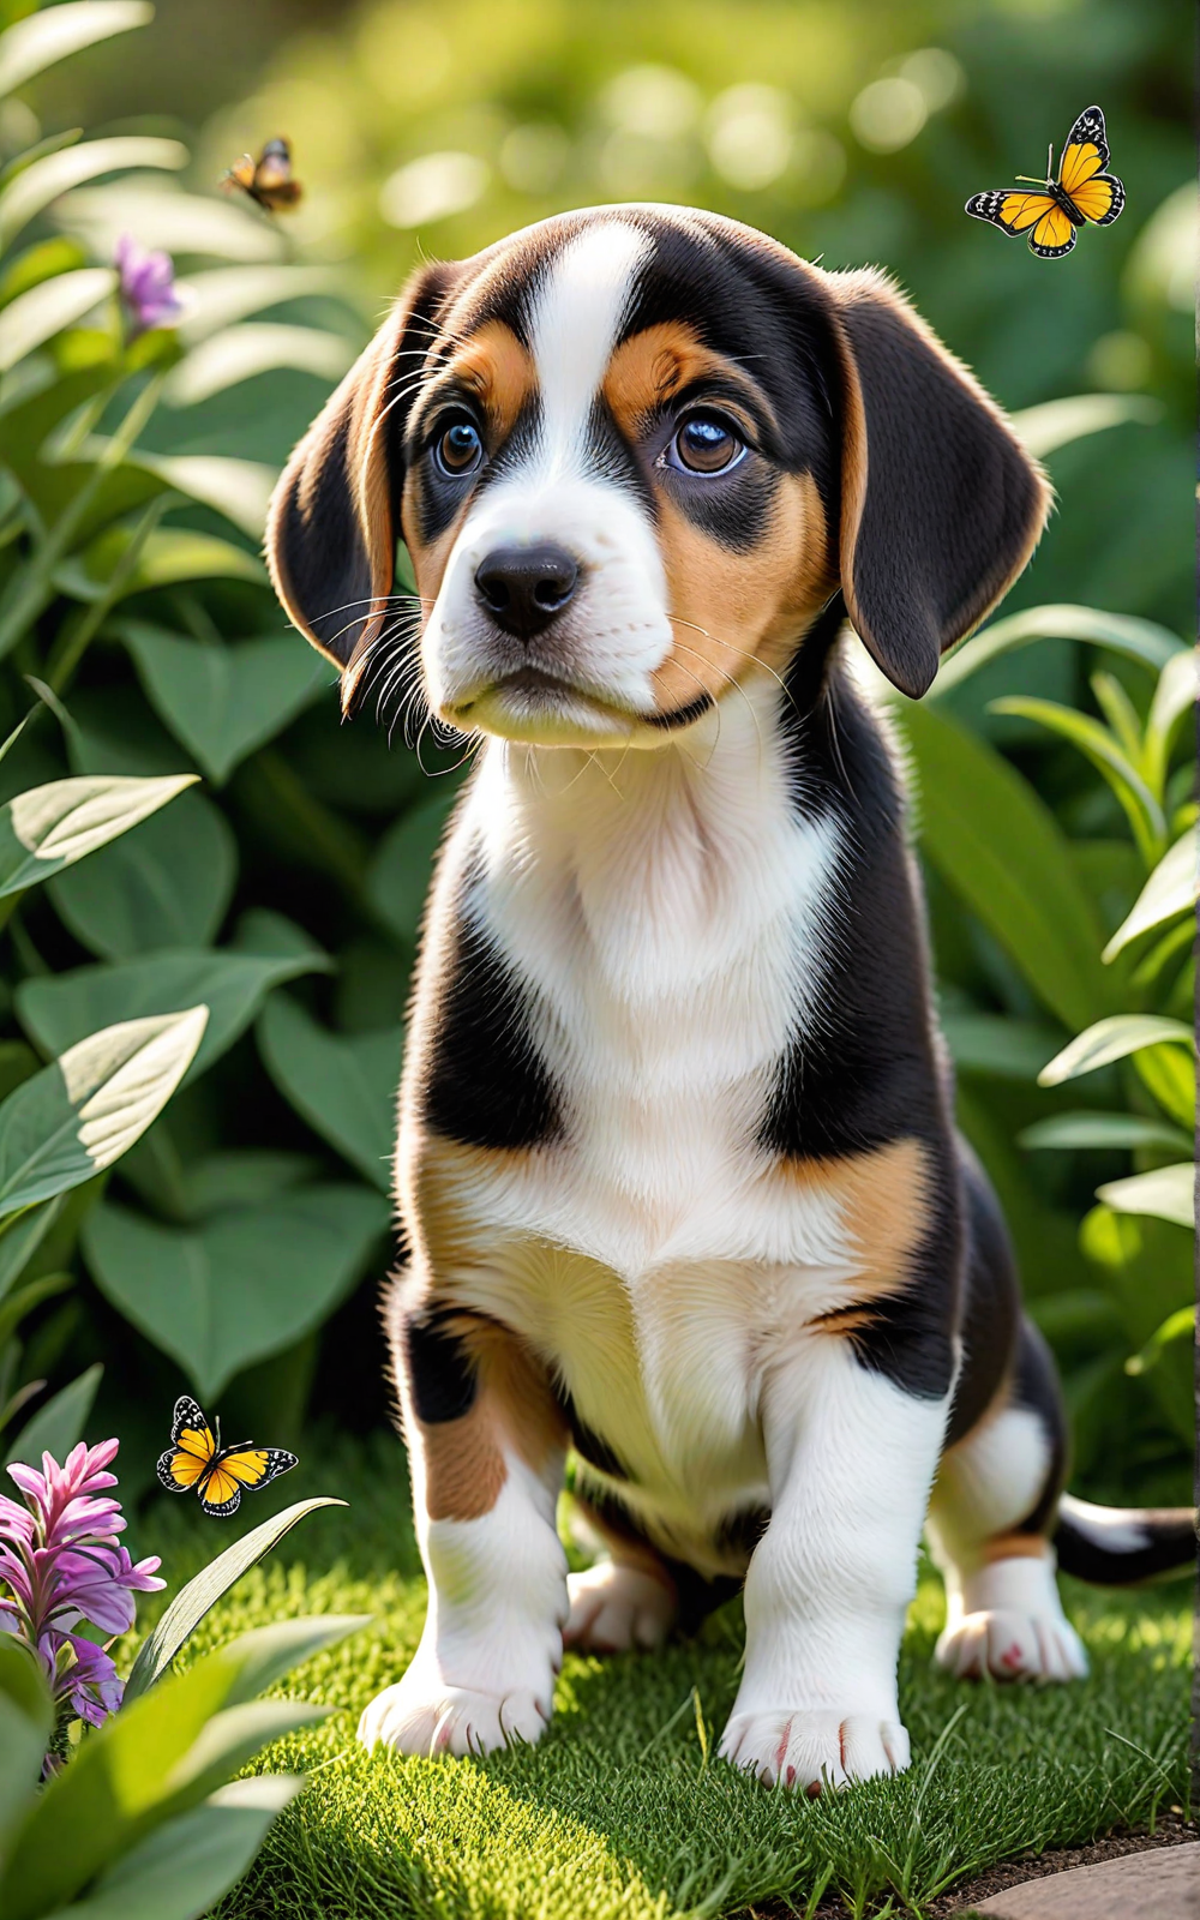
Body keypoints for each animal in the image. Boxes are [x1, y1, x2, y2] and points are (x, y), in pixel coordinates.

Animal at [266, 214, 1190, 1797]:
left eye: (706, 437)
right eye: (455, 440)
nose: (517, 581)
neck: (658, 874)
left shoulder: (878, 1326)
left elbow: (832, 1550)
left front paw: (813, 1721)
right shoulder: (458, 1310)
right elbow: (474, 1538)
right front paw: (467, 1694)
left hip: (1003, 1378)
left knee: (997, 1523)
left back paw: (1014, 1630)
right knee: (642, 1551)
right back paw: (621, 1601)